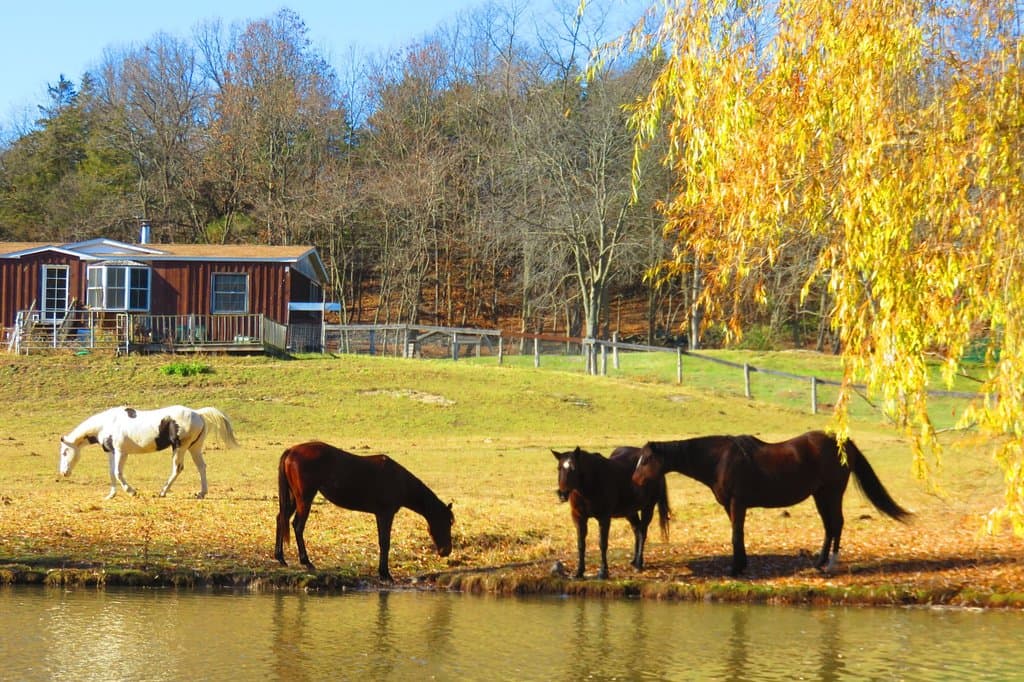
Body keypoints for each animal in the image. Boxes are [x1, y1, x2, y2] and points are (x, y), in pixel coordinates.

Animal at [59, 405, 239, 499]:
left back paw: (163, 492)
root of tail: (199, 414)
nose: (63, 472)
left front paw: (131, 491)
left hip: (179, 448)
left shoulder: (121, 452)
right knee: (201, 467)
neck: (107, 423)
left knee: (177, 468)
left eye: (65, 452)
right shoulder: (112, 452)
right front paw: (111, 495)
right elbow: (111, 473)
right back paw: (201, 493)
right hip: (194, 448)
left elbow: (118, 473)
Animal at [274, 441, 454, 581]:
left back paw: (281, 558)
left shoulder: (381, 515)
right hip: (304, 499)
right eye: (447, 523)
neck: (399, 481)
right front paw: (385, 574)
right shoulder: (385, 514)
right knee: (298, 526)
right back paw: (306, 562)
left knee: (281, 519)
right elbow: (385, 542)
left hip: (293, 498)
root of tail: (292, 450)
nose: (446, 551)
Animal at [553, 446, 670, 579]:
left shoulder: (604, 518)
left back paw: (639, 564)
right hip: (630, 511)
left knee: (643, 533)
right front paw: (579, 572)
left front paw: (603, 572)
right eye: (559, 468)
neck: (591, 484)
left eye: (573, 468)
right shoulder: (579, 518)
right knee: (637, 531)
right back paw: (634, 561)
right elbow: (581, 544)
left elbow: (603, 544)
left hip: (648, 507)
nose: (562, 494)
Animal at [632, 430, 912, 576]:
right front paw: (741, 564)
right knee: (829, 527)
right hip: (820, 495)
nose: (634, 480)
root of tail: (843, 442)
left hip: (832, 493)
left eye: (646, 459)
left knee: (837, 525)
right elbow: (739, 534)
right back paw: (819, 562)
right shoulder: (731, 506)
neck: (720, 459)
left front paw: (735, 568)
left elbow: (736, 535)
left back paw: (830, 564)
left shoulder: (737, 503)